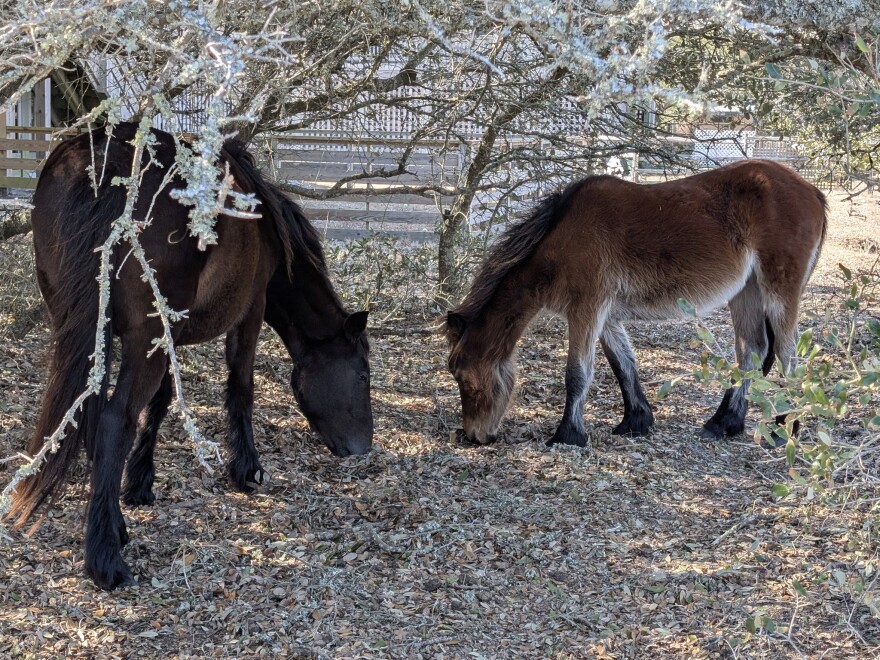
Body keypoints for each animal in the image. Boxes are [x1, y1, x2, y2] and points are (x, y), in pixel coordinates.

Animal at [6, 122, 374, 590]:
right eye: (363, 376)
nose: (363, 448)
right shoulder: (250, 311)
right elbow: (240, 387)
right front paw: (246, 469)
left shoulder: (170, 335)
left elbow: (162, 401)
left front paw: (139, 483)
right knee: (113, 419)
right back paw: (105, 557)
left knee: (92, 412)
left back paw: (114, 526)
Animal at [444, 160, 827, 447]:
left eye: (462, 376)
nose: (474, 436)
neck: (561, 239)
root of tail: (812, 191)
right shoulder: (606, 315)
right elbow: (623, 365)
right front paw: (635, 421)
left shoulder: (586, 309)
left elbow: (577, 373)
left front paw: (568, 435)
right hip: (746, 293)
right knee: (752, 352)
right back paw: (723, 423)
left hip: (778, 292)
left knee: (787, 357)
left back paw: (784, 430)